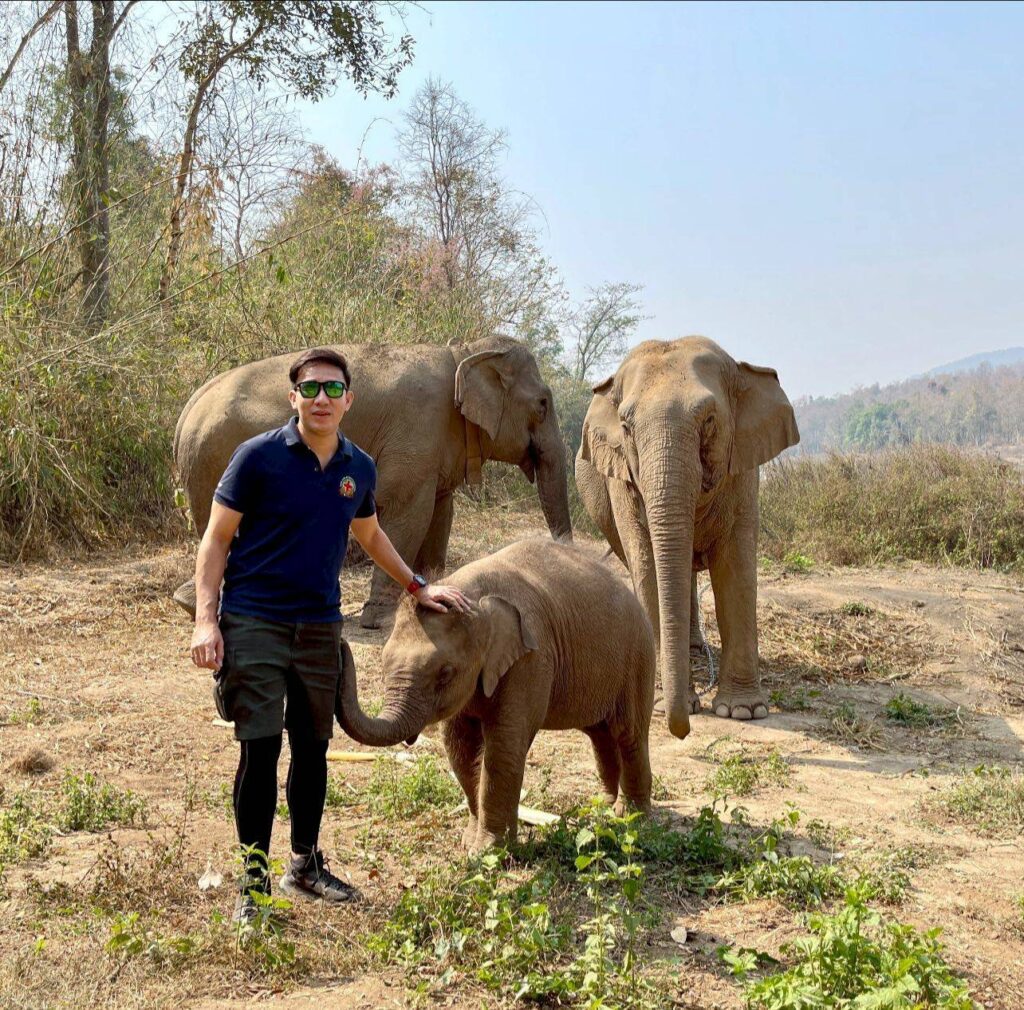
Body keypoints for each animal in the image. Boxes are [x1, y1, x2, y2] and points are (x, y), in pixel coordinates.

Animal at [173, 335, 572, 627]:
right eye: (542, 404)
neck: (463, 349)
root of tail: (187, 408)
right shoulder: (416, 429)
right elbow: (405, 511)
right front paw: (380, 619)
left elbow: (440, 511)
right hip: (219, 458)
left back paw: (190, 604)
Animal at [336, 539, 656, 851]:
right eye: (384, 663)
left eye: (445, 673)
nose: (341, 644)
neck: (476, 599)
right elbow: (459, 747)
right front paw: (471, 842)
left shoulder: (531, 658)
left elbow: (503, 746)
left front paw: (489, 852)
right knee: (600, 735)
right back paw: (604, 808)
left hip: (638, 656)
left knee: (628, 733)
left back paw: (631, 817)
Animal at [575, 336, 799, 739]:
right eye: (626, 427)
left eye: (709, 420)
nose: (682, 729)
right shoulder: (622, 478)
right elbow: (647, 565)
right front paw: (660, 704)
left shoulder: (743, 469)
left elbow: (735, 567)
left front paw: (744, 711)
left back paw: (695, 650)